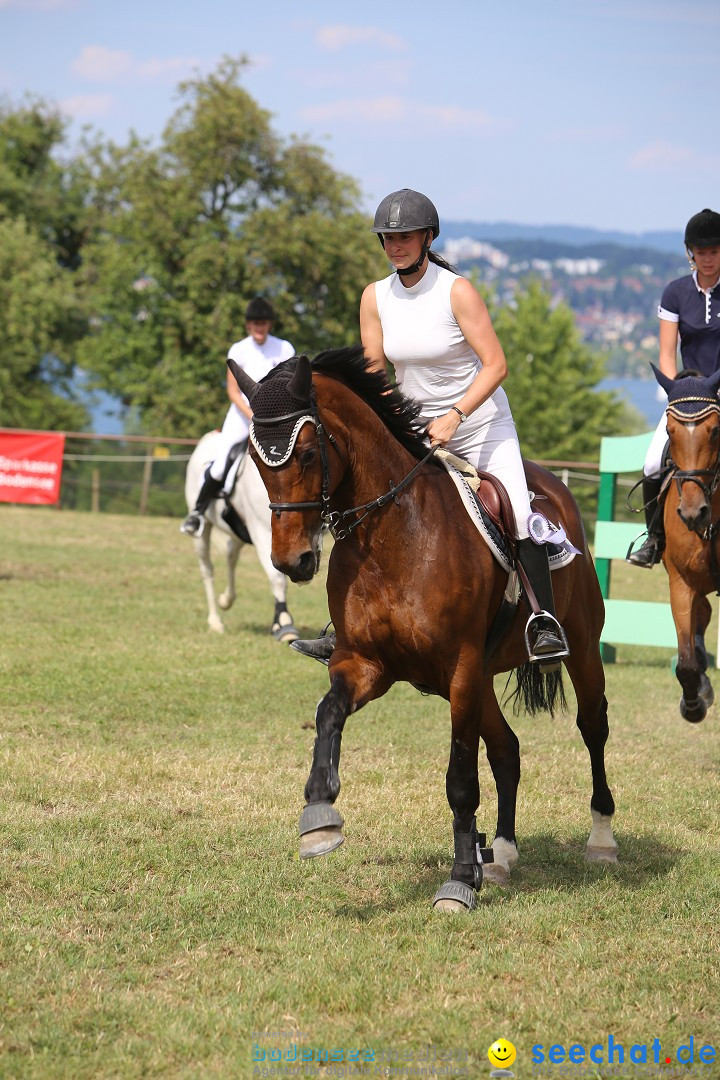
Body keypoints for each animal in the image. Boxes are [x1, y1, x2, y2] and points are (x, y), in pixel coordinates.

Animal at [187, 429, 300, 639]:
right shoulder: (262, 531)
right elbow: (277, 578)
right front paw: (284, 624)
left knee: (231, 556)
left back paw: (226, 599)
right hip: (203, 529)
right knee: (207, 569)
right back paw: (215, 621)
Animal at [231, 347, 621, 911]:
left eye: (304, 453)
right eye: (257, 460)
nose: (292, 561)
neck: (391, 535)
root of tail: (554, 490)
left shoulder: (459, 670)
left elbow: (460, 779)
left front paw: (458, 880)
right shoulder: (366, 664)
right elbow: (328, 714)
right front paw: (319, 818)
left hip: (580, 650)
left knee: (592, 728)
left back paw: (601, 840)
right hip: (483, 678)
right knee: (507, 750)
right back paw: (501, 854)